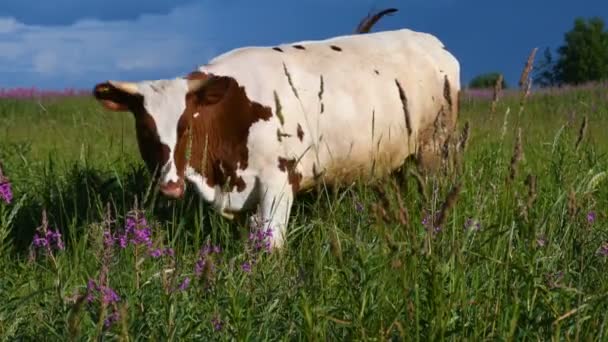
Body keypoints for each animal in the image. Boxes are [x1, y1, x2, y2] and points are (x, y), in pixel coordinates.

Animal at [92, 27, 458, 248]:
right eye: (145, 129)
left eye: (186, 126)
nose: (170, 186)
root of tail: (431, 42)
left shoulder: (279, 182)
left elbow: (270, 243)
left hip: (434, 150)